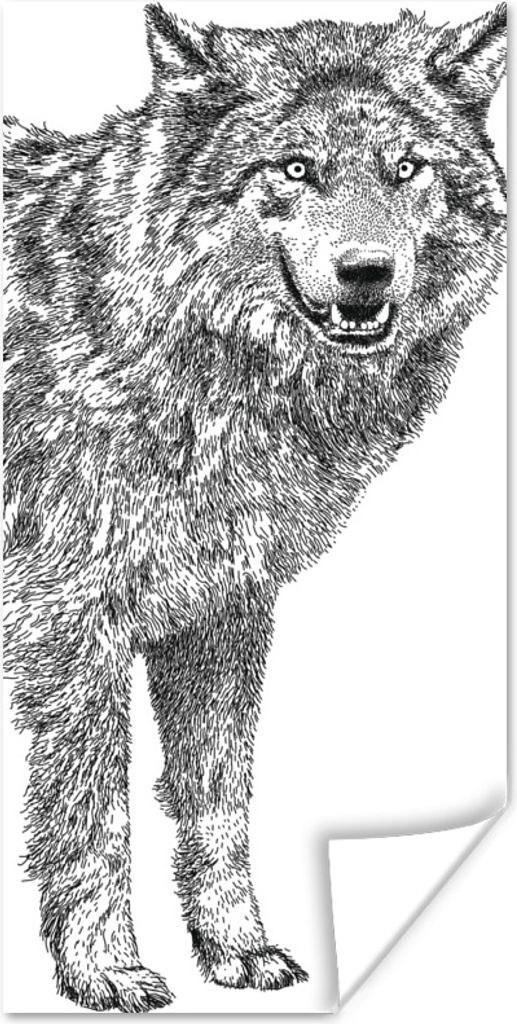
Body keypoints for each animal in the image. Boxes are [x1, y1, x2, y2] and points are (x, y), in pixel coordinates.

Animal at [3, 0, 506, 1012]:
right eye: (294, 167)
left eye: (406, 168)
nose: (366, 271)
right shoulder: (70, 626)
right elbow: (93, 814)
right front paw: (104, 968)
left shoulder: (223, 611)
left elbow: (218, 796)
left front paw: (235, 947)